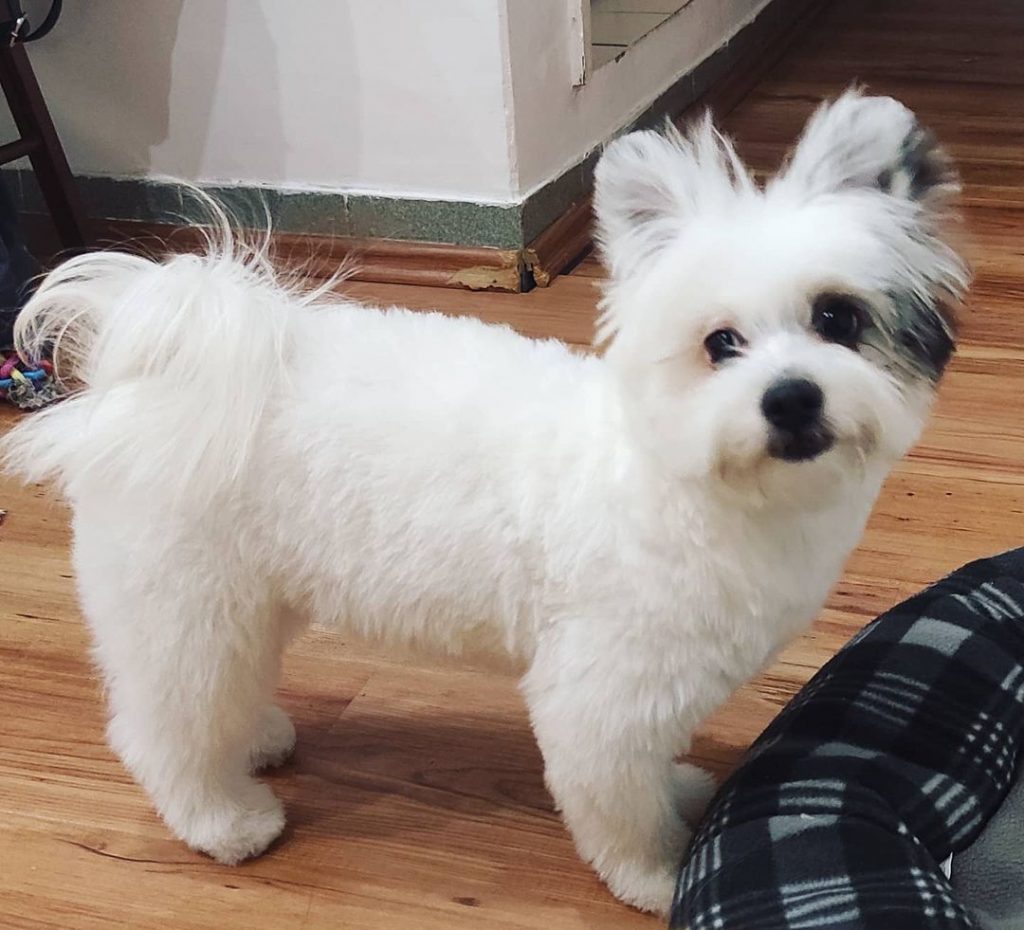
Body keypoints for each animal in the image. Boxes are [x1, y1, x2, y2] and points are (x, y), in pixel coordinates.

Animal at [4, 90, 966, 913]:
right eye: (719, 344)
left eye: (838, 319)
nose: (792, 398)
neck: (687, 481)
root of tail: (151, 373)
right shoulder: (601, 692)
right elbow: (619, 805)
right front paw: (658, 877)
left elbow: (654, 769)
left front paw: (684, 789)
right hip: (185, 603)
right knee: (161, 727)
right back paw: (223, 820)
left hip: (249, 599)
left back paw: (258, 736)